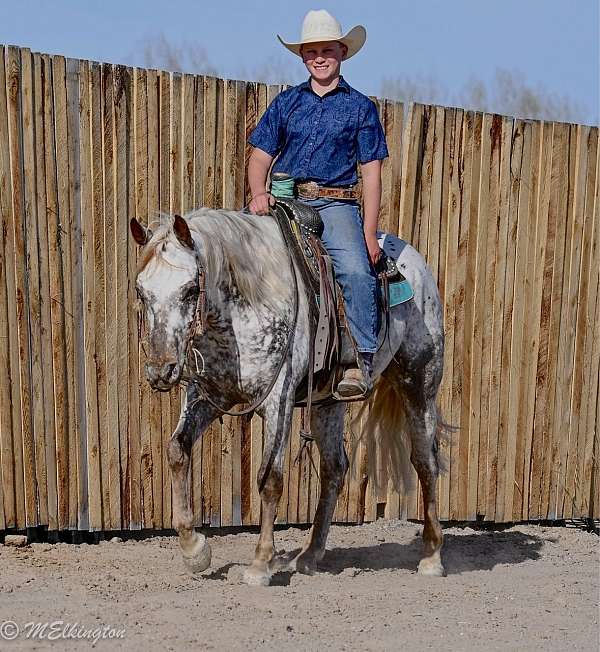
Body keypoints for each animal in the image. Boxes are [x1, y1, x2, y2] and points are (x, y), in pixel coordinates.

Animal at [130, 206, 447, 586]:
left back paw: (431, 557)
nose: (161, 370)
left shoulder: (277, 400)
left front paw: (260, 564)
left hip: (420, 381)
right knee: (335, 468)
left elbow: (270, 479)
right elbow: (177, 451)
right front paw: (194, 550)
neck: (243, 308)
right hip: (327, 402)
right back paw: (310, 555)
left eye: (191, 289)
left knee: (426, 462)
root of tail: (411, 258)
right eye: (141, 291)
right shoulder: (208, 396)